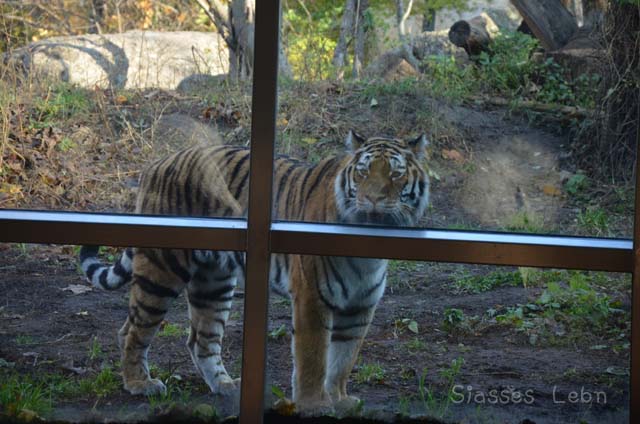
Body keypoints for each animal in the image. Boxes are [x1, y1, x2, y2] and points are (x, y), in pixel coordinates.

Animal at [80, 130, 430, 414]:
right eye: (363, 172)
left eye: (395, 174)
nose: (372, 198)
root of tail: (157, 163)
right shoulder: (312, 298)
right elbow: (314, 357)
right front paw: (314, 405)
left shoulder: (361, 305)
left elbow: (343, 358)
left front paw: (340, 399)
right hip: (161, 271)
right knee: (133, 330)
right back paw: (139, 383)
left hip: (215, 283)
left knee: (201, 339)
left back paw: (225, 385)